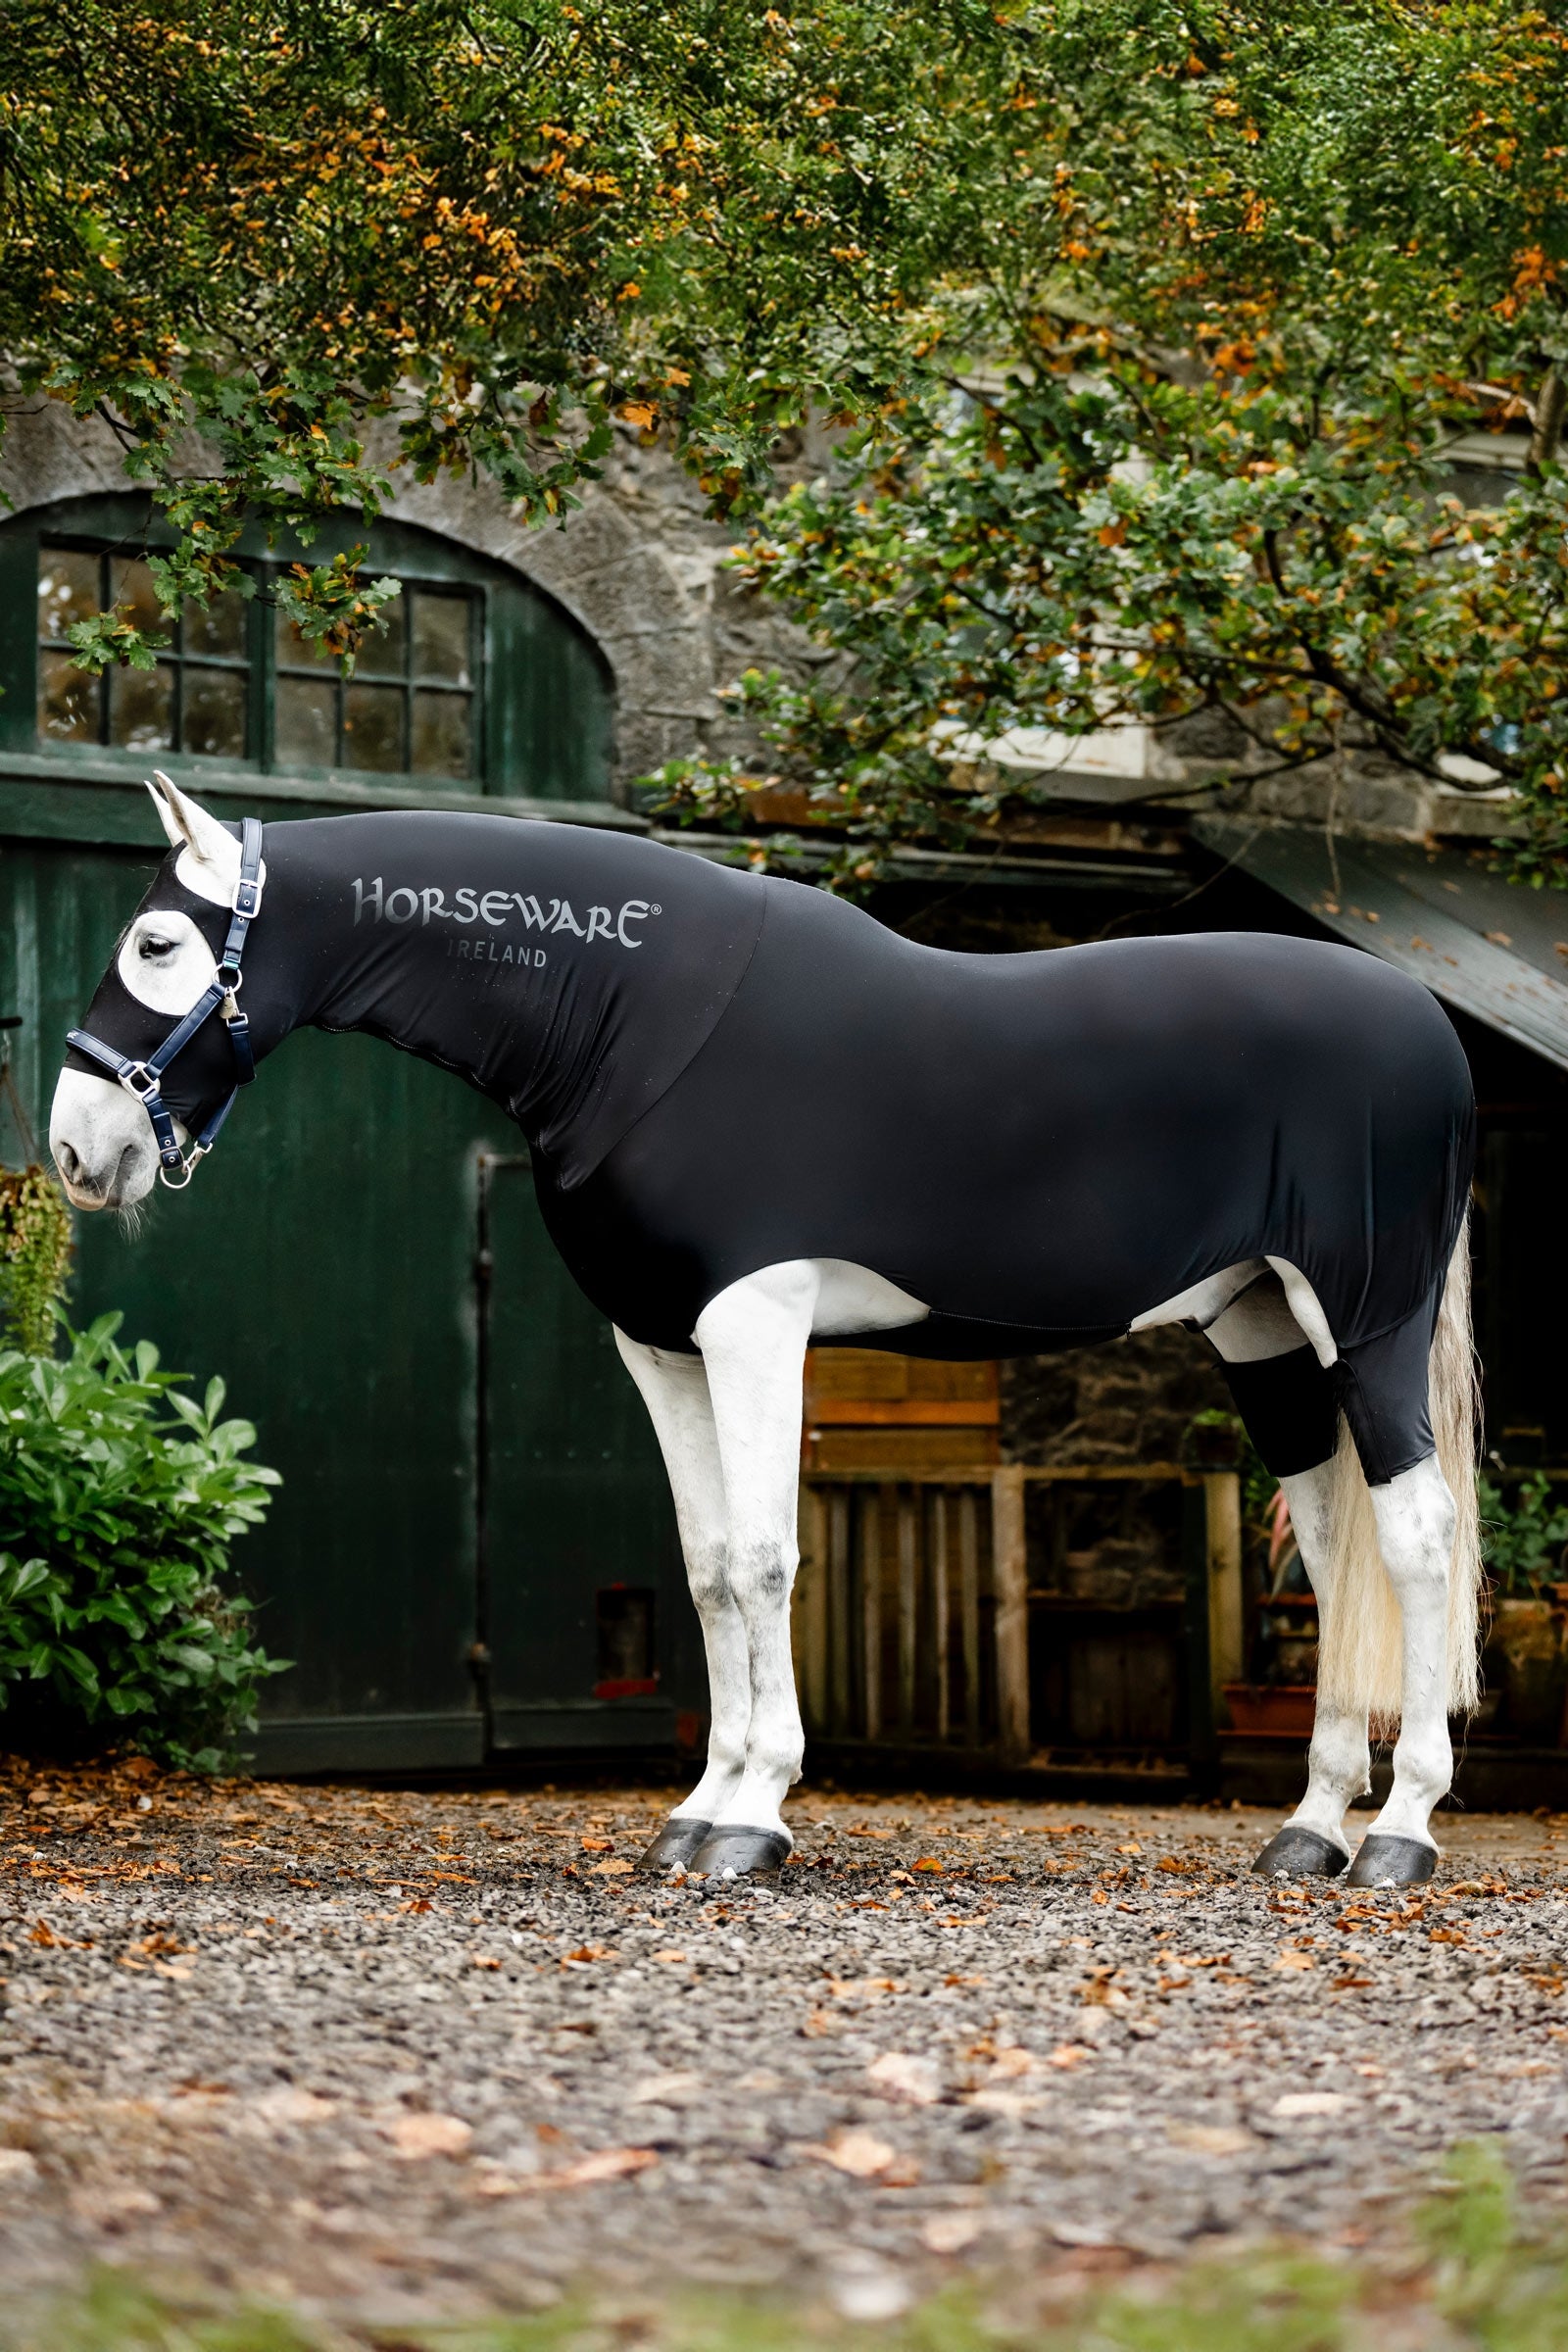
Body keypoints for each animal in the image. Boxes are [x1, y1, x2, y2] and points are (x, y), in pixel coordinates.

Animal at [51, 772, 1481, 1889]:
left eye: (160, 945)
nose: (76, 1149)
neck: (637, 1023)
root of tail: (1427, 1027)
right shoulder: (660, 1343)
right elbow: (704, 1568)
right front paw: (696, 1813)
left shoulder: (755, 1321)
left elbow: (762, 1560)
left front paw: (754, 1819)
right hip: (1262, 1331)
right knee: (1333, 1546)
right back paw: (1310, 1830)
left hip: (1366, 1320)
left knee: (1418, 1541)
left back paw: (1400, 1834)